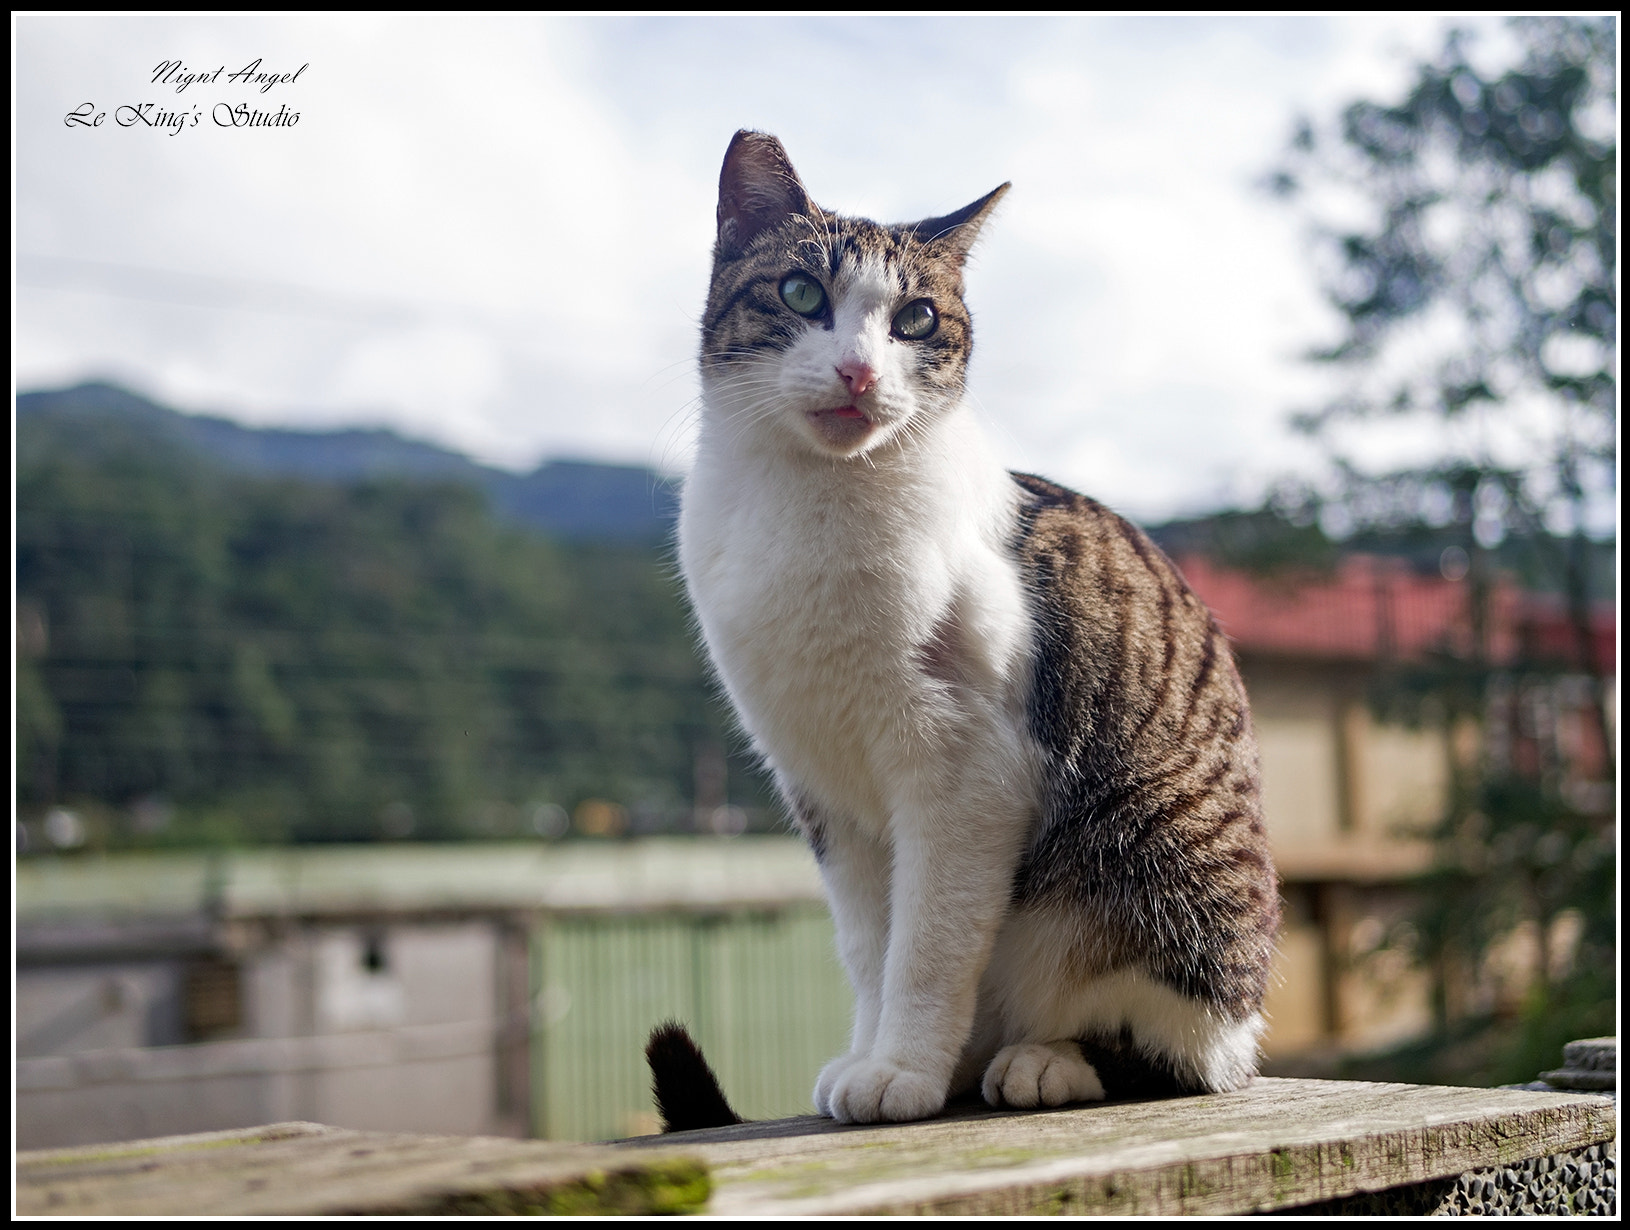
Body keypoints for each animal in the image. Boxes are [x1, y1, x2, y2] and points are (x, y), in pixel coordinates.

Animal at [655, 129, 1277, 1127]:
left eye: (916, 319)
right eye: (801, 294)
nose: (859, 371)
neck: (811, 509)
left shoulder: (966, 770)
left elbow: (928, 944)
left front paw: (902, 1072)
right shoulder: (824, 790)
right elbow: (870, 948)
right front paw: (877, 1055)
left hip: (1152, 861)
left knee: (1183, 1052)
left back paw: (1044, 1060)